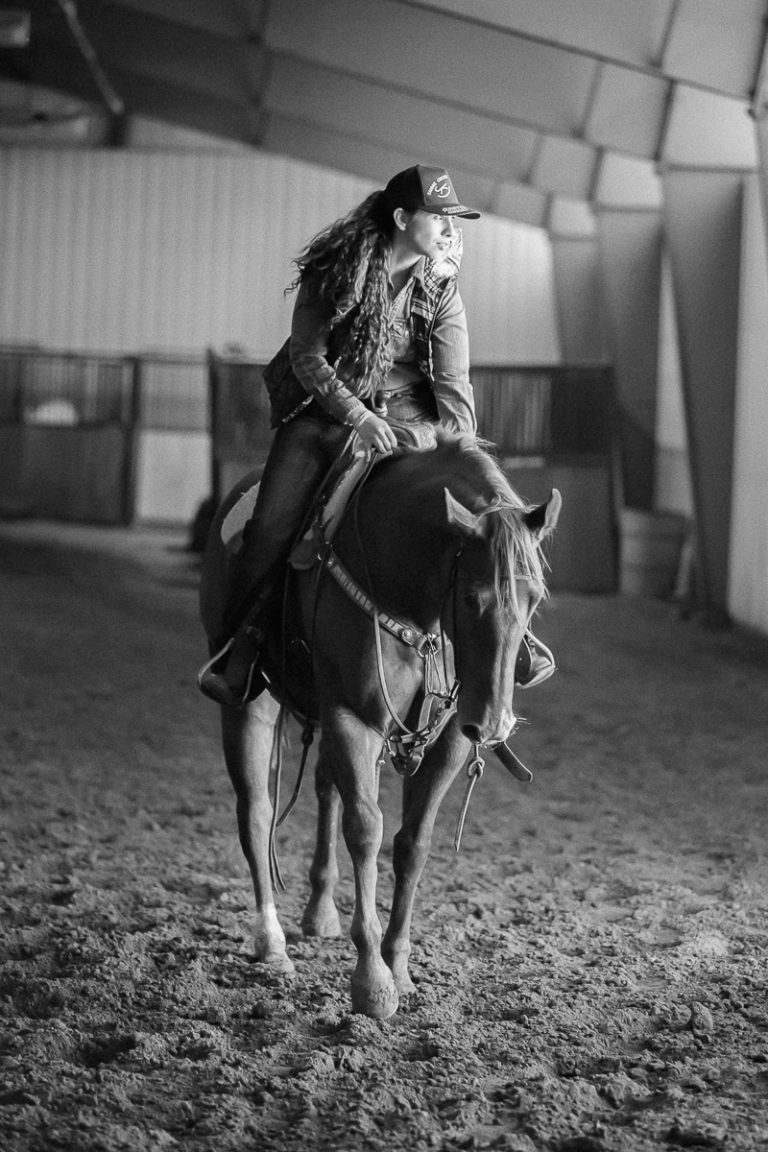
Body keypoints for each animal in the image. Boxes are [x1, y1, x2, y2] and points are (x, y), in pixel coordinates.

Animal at [198, 433, 559, 1018]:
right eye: (470, 597)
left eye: (535, 598)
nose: (494, 723)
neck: (410, 598)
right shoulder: (353, 719)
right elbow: (366, 830)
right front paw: (373, 981)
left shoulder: (449, 737)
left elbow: (413, 841)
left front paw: (400, 967)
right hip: (249, 702)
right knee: (256, 811)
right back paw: (272, 943)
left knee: (324, 788)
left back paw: (320, 911)